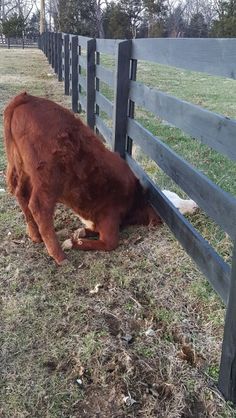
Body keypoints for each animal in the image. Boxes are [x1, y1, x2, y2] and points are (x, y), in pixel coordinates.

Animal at [3, 93, 161, 266]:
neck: (133, 198)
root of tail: (26, 97)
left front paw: (80, 232)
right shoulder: (110, 215)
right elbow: (110, 243)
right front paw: (73, 242)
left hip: (22, 168)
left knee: (21, 195)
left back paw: (36, 236)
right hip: (48, 178)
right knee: (39, 207)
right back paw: (60, 256)